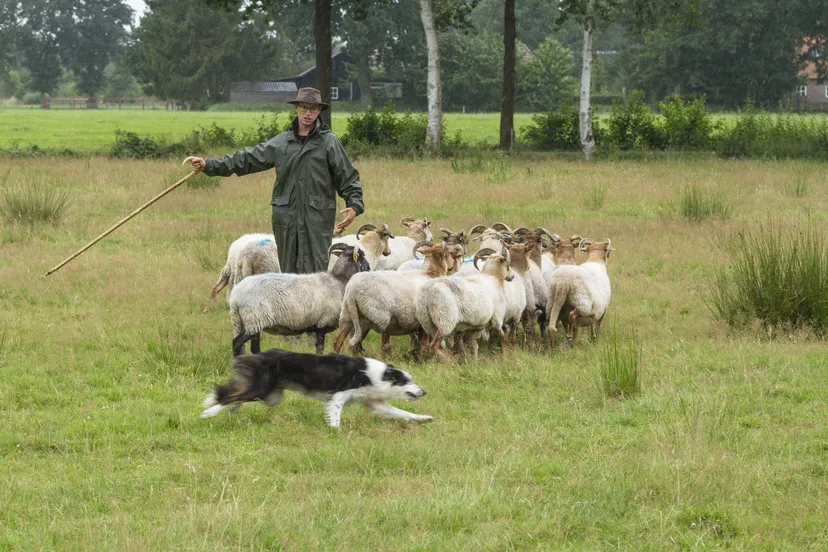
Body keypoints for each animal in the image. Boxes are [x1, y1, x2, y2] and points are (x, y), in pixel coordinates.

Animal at [226, 244, 368, 356]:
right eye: (361, 255)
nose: (368, 268)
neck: (340, 280)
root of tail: (235, 297)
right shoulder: (322, 324)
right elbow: (320, 349)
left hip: (246, 321)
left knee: (253, 347)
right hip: (254, 320)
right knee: (237, 342)